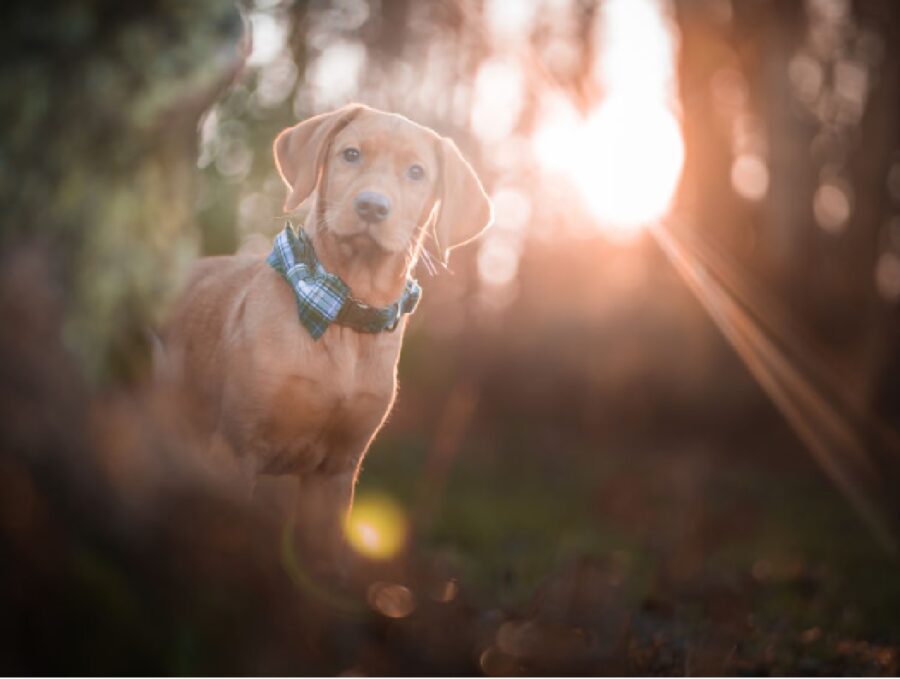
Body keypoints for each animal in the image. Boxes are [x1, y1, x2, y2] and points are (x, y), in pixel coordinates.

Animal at [165, 103, 496, 564]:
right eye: (350, 155)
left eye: (416, 172)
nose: (372, 206)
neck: (343, 311)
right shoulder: (235, 449)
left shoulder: (338, 472)